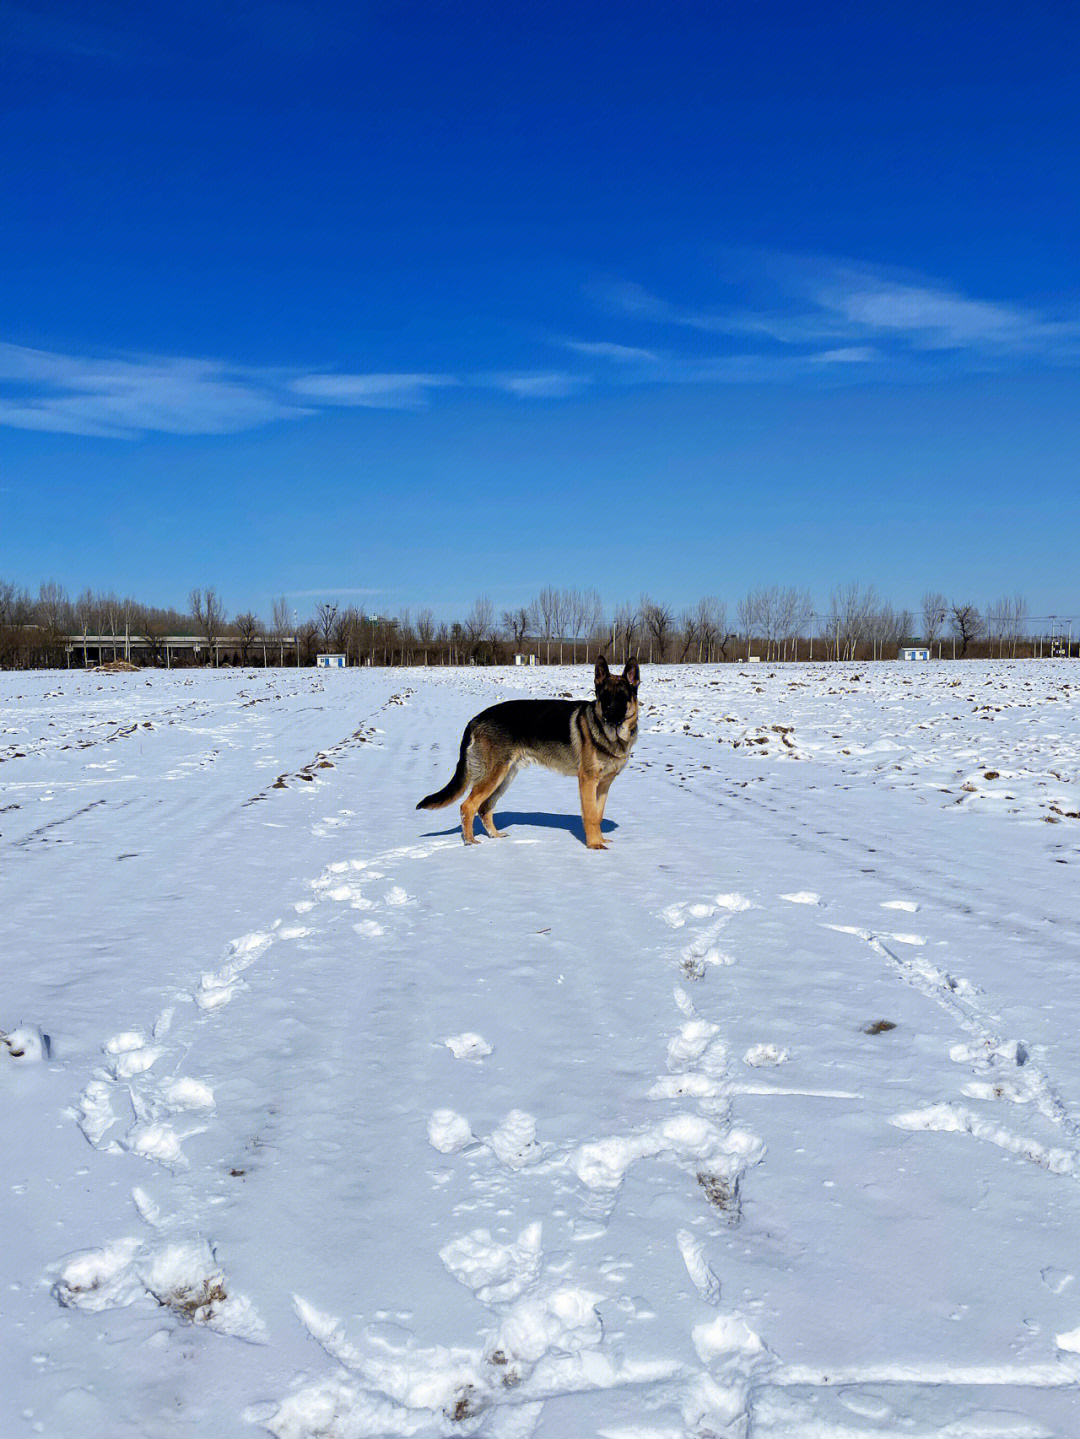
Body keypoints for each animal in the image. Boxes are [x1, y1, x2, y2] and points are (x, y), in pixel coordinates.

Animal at [417, 659, 638, 846]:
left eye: (621, 698)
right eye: (604, 696)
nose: (608, 715)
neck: (611, 736)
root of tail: (474, 720)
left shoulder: (604, 784)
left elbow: (598, 814)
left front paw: (600, 841)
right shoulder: (587, 780)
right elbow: (591, 816)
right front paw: (594, 846)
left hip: (505, 777)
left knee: (484, 808)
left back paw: (495, 836)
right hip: (494, 776)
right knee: (467, 806)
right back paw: (470, 842)